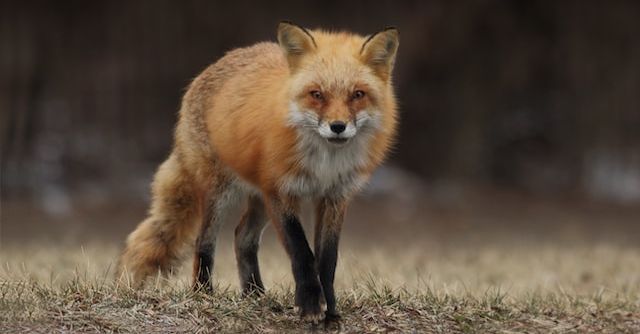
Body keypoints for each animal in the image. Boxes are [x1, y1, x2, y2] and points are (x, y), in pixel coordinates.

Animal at [117, 21, 398, 324]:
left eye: (357, 95)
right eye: (317, 94)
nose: (337, 126)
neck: (324, 163)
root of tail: (214, 65)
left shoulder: (334, 197)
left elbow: (327, 260)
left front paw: (331, 312)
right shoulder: (281, 191)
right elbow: (302, 253)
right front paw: (310, 305)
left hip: (260, 199)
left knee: (242, 237)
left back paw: (255, 295)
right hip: (221, 193)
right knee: (204, 242)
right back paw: (204, 293)